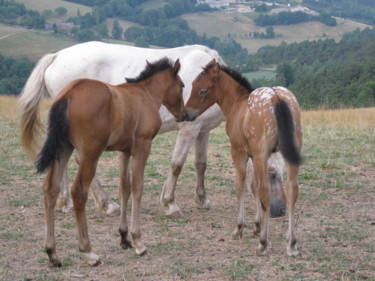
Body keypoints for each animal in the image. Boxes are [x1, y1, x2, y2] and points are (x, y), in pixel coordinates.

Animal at [19, 41, 286, 217]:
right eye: (271, 173)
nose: (279, 210)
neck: (209, 86)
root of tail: (56, 56)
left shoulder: (203, 130)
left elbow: (201, 164)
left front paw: (202, 200)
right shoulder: (189, 128)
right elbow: (177, 164)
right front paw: (169, 204)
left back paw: (63, 201)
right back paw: (107, 204)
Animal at [31, 58, 186, 266]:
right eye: (182, 85)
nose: (184, 115)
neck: (144, 95)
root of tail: (68, 94)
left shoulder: (124, 151)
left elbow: (124, 189)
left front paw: (124, 237)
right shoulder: (142, 146)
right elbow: (137, 188)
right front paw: (138, 241)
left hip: (63, 148)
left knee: (50, 189)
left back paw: (52, 253)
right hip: (90, 152)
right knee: (78, 191)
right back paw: (89, 252)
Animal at [184, 59, 304, 256]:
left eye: (203, 90)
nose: (187, 113)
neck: (237, 105)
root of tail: (277, 98)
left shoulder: (239, 152)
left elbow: (241, 186)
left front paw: (239, 228)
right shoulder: (254, 155)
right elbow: (253, 186)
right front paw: (257, 226)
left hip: (262, 152)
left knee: (266, 191)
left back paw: (263, 243)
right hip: (289, 153)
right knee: (292, 190)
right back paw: (291, 243)